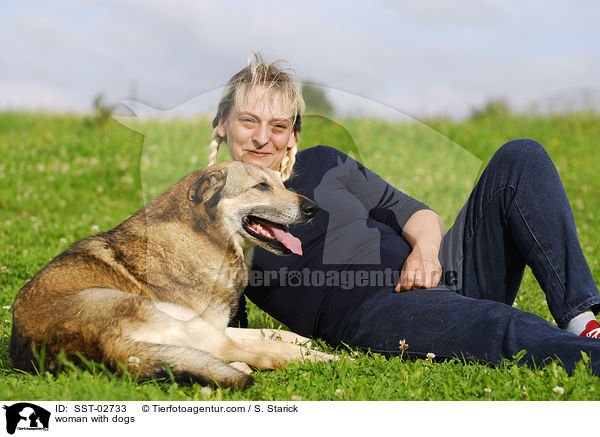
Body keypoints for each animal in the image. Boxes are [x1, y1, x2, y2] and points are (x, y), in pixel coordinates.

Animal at [9, 160, 336, 388]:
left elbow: (273, 332)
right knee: (258, 353)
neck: (206, 235)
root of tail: (104, 347)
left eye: (281, 183)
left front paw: (304, 340)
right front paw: (314, 352)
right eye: (261, 186)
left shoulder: (210, 323)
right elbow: (264, 341)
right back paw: (330, 359)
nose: (314, 208)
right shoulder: (203, 324)